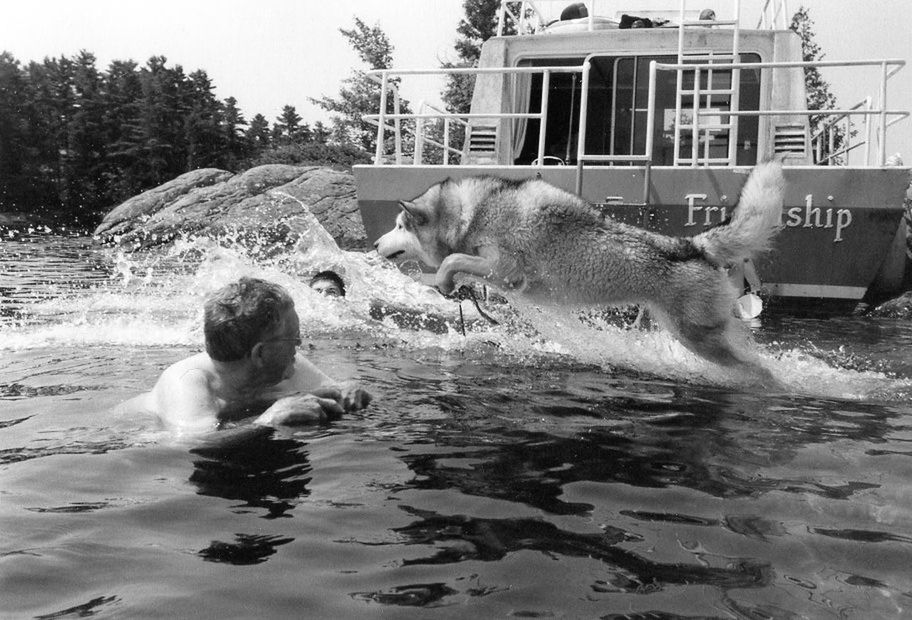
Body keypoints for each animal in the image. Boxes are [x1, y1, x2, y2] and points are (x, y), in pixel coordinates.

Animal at [374, 162, 788, 378]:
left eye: (398, 226)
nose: (375, 245)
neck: (471, 214)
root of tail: (693, 245)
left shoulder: (507, 270)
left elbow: (451, 261)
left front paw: (443, 282)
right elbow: (457, 263)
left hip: (697, 337)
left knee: (760, 371)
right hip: (685, 331)